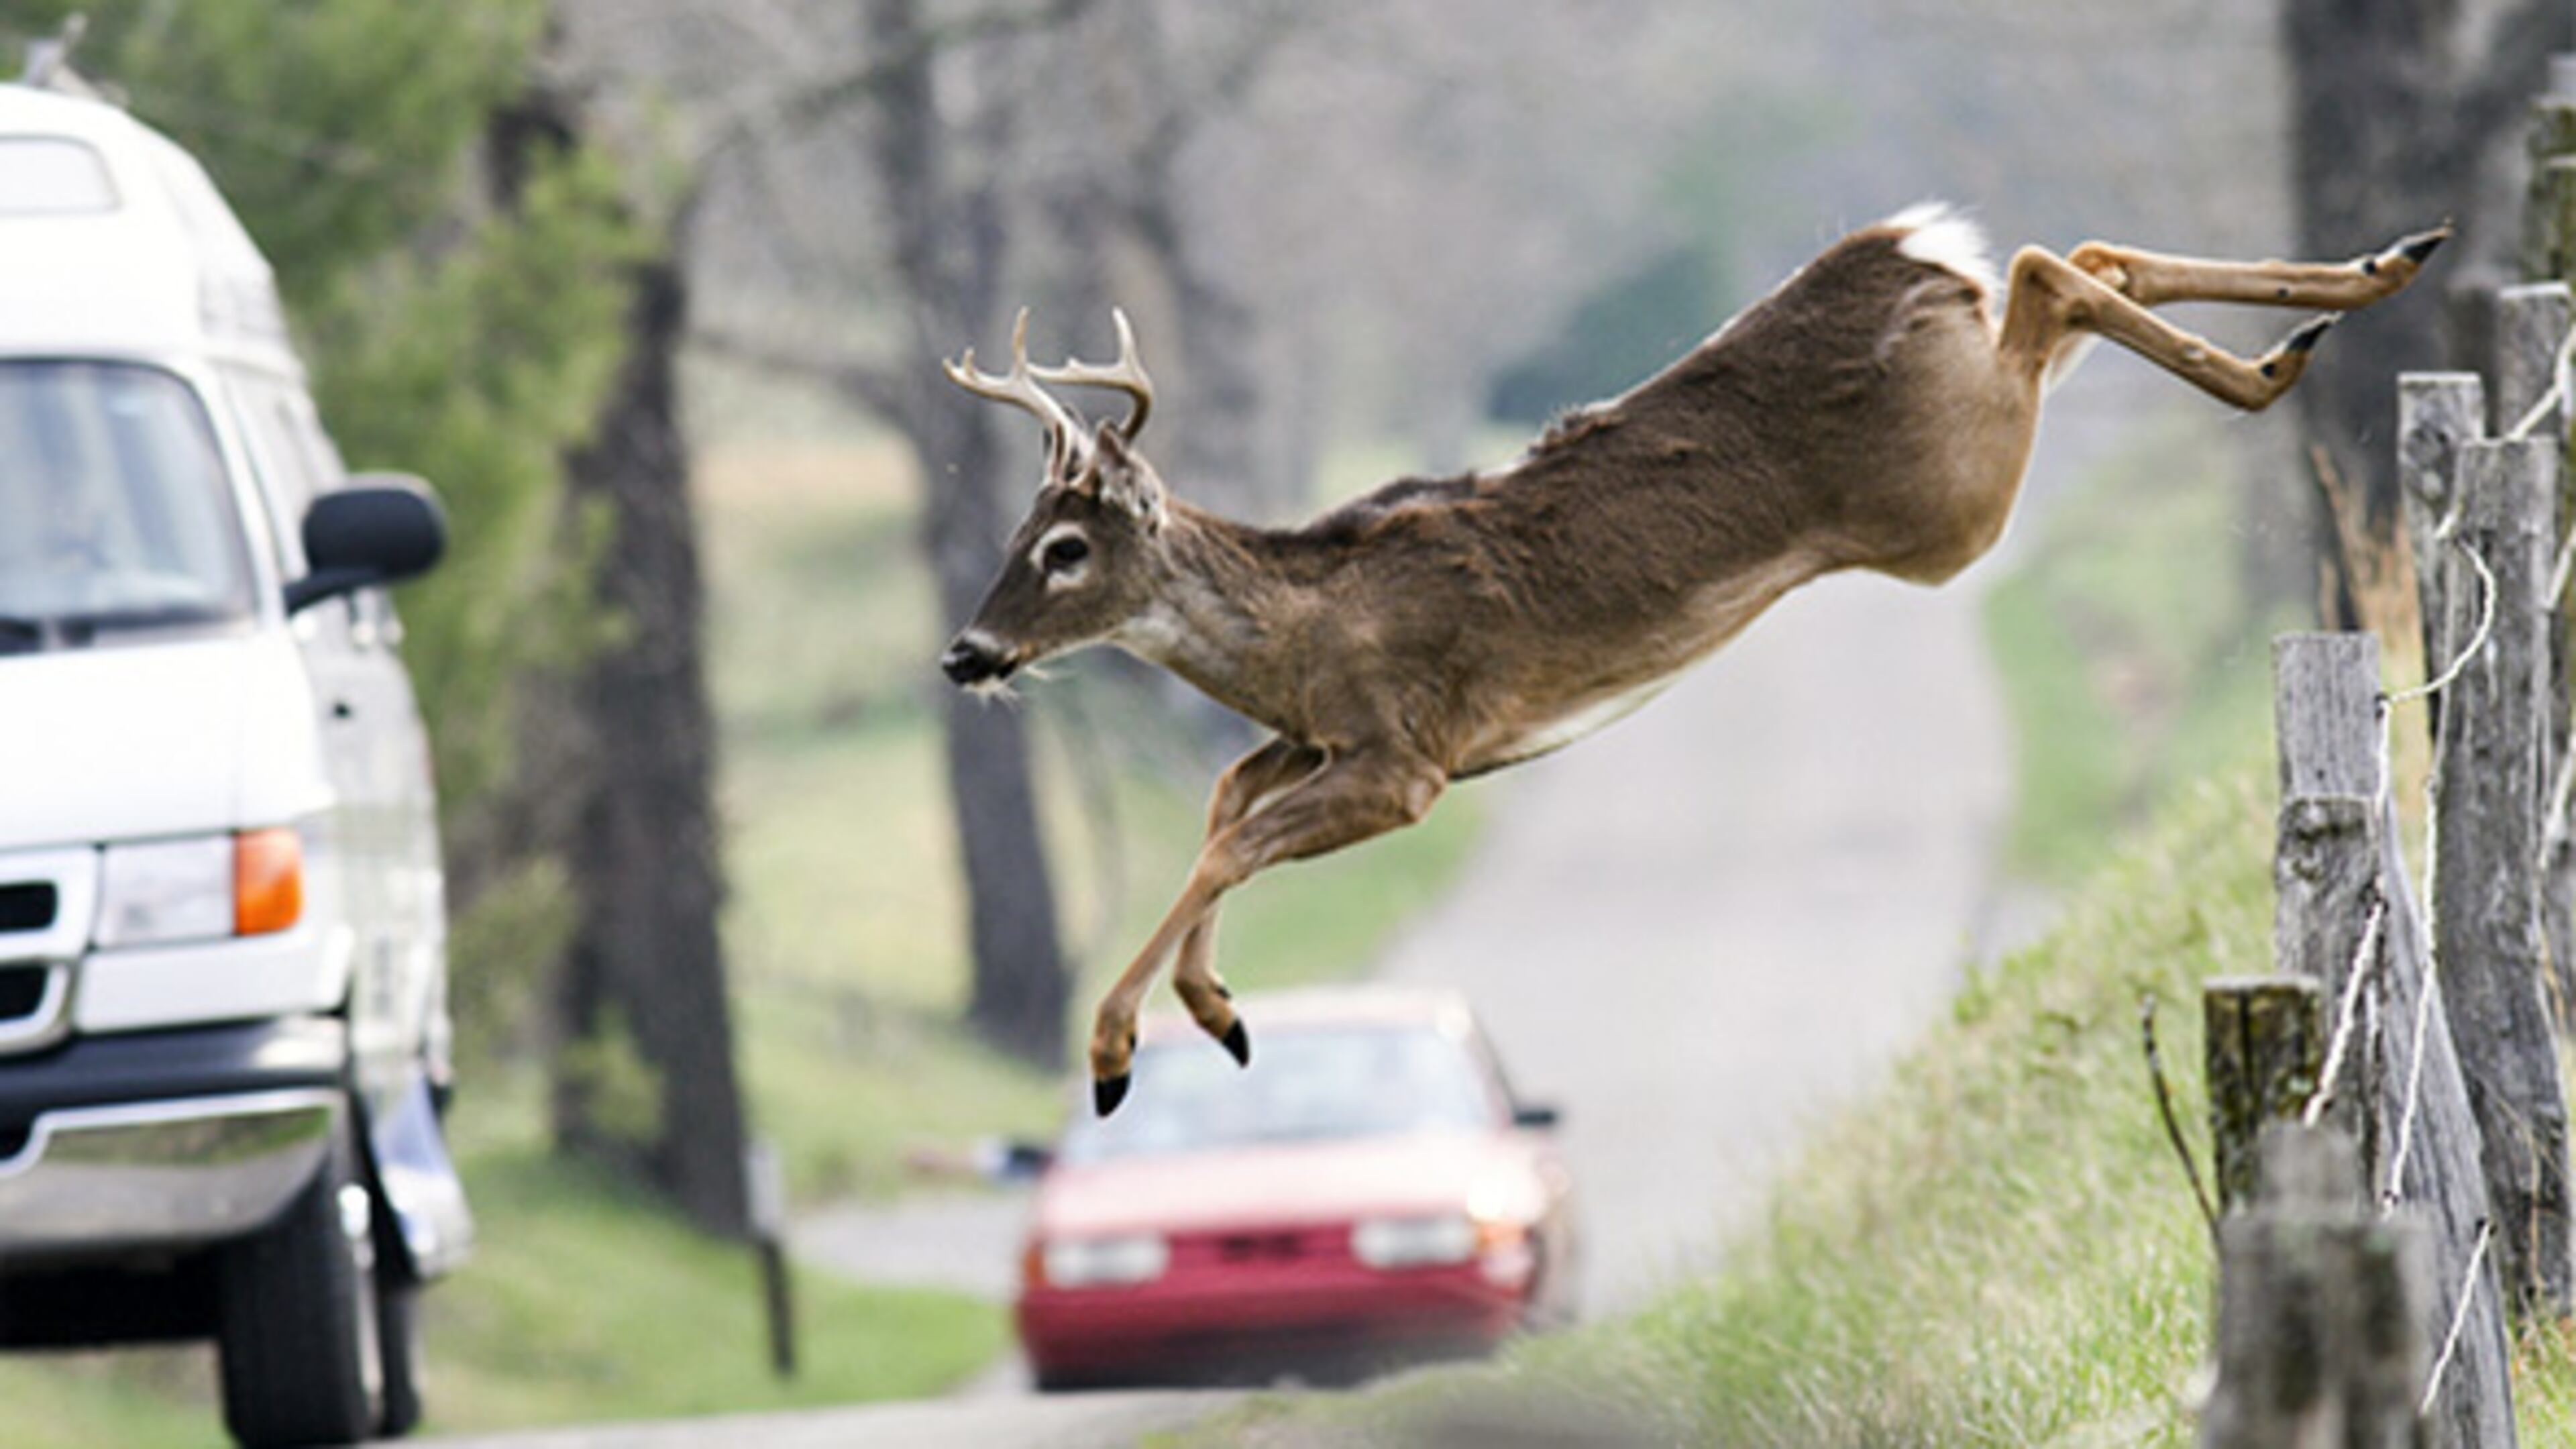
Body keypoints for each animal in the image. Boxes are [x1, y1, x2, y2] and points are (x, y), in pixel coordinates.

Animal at [936, 204, 2447, 1116]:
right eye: (1012, 533)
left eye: (1062, 547)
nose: (966, 653)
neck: (1303, 628)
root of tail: (1904, 249)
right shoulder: (1323, 741)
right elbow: (1222, 804)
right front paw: (1219, 1009)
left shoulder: (1408, 760)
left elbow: (1230, 838)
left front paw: (1119, 1052)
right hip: (1971, 442)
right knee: (2079, 259)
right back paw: (2371, 278)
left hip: (1953, 499)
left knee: (2046, 268)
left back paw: (2288, 352)